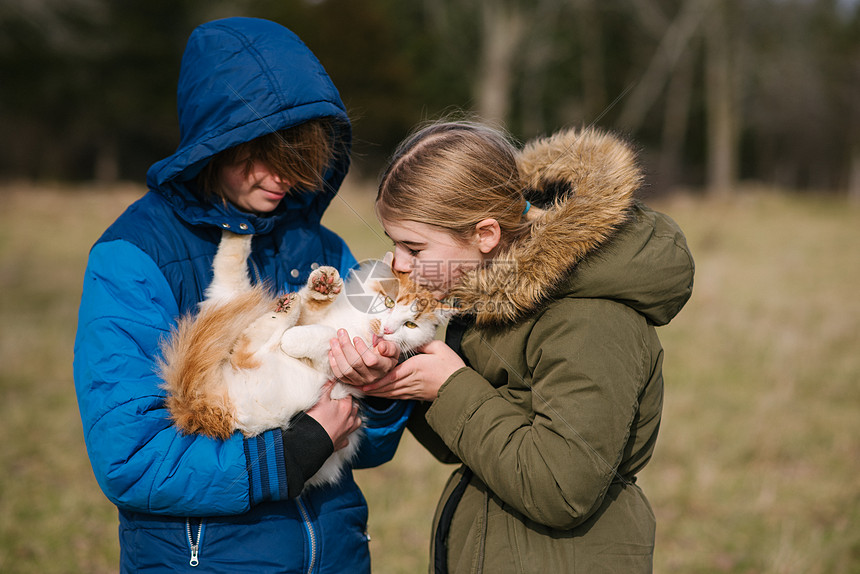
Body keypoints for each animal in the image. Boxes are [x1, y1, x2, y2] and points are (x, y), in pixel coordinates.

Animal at [159, 231, 450, 490]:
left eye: (410, 325)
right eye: (389, 302)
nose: (387, 330)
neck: (357, 321)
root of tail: (199, 408)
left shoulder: (329, 365)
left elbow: (321, 335)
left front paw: (294, 336)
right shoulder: (314, 318)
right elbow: (312, 308)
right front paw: (323, 285)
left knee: (248, 345)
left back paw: (282, 312)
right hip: (229, 303)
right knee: (230, 270)